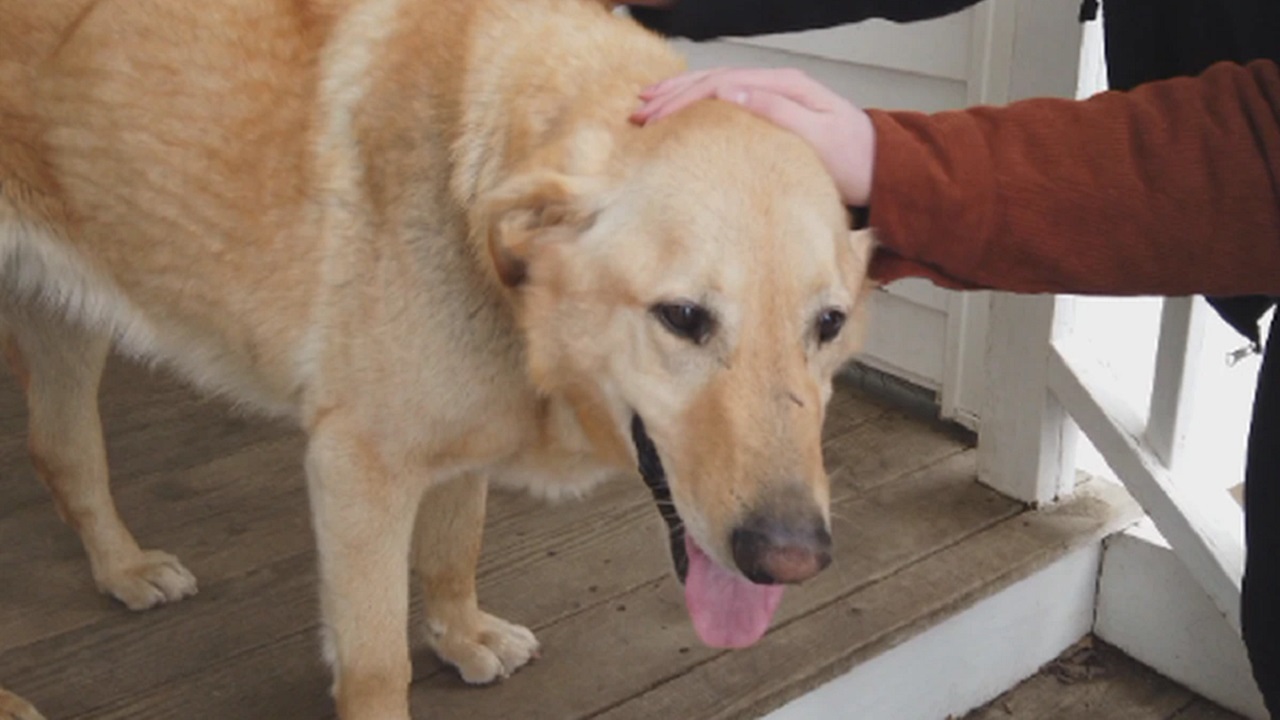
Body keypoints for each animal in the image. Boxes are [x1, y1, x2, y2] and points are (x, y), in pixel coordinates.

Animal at [0, 0, 875, 712]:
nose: (794, 562)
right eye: (684, 317)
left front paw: (462, 637)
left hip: (65, 316)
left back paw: (122, 569)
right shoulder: (356, 470)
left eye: (829, 323)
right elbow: (378, 665)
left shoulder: (460, 441)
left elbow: (456, 548)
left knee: (62, 452)